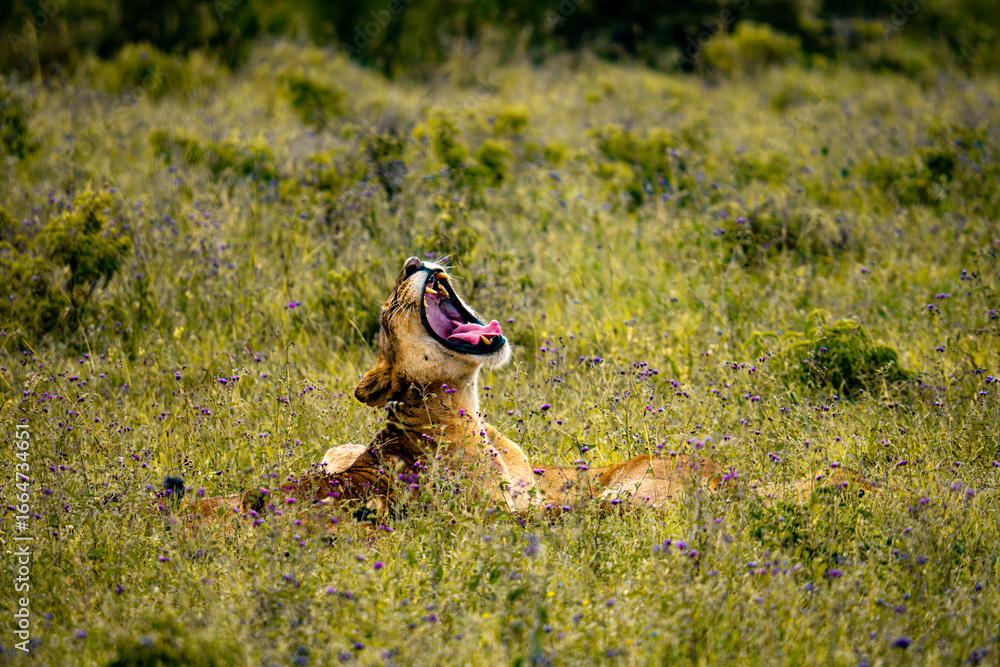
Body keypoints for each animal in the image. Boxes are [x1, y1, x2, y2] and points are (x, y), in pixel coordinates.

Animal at [183, 257, 862, 524]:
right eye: (390, 307)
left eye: (404, 274)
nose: (414, 264)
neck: (469, 408)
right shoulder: (504, 509)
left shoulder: (533, 481)